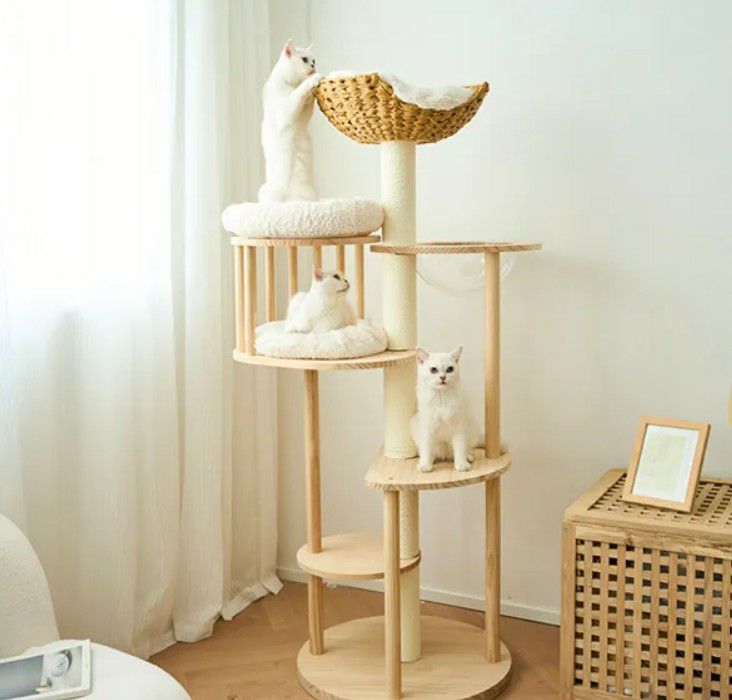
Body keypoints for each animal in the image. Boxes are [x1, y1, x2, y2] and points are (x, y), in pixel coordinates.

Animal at [258, 40, 322, 203]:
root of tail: (290, 199)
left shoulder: (302, 118)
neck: (292, 83)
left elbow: (306, 104)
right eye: (305, 60)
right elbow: (297, 94)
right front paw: (313, 80)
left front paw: (312, 93)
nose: (313, 66)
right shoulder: (285, 112)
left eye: (314, 60)